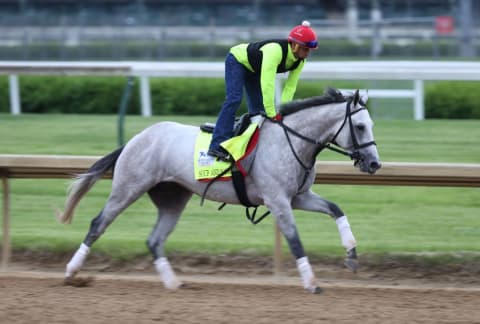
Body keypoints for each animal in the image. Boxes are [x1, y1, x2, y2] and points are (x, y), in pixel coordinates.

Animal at [57, 86, 378, 294]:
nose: (374, 163)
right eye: (361, 126)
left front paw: (351, 255)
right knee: (98, 224)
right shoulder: (278, 200)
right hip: (128, 187)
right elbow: (295, 240)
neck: (292, 141)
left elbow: (336, 209)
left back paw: (173, 283)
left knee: (154, 240)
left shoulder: (298, 196)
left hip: (173, 199)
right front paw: (311, 282)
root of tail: (137, 138)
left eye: (371, 124)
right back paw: (72, 272)